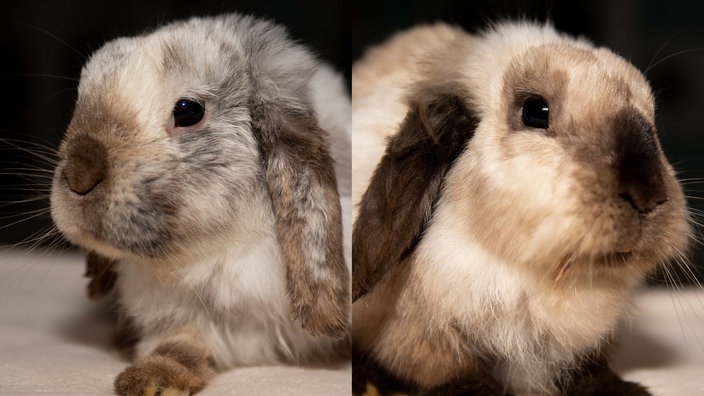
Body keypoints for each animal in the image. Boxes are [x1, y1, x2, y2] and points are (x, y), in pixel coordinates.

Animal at [51, 13, 352, 396]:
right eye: (80, 100)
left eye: (188, 111)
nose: (78, 174)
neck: (219, 246)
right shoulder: (181, 317)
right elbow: (180, 344)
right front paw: (150, 380)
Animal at [352, 21, 688, 396]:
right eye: (535, 112)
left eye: (653, 123)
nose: (647, 194)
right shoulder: (414, 332)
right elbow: (452, 372)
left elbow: (590, 370)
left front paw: (625, 390)